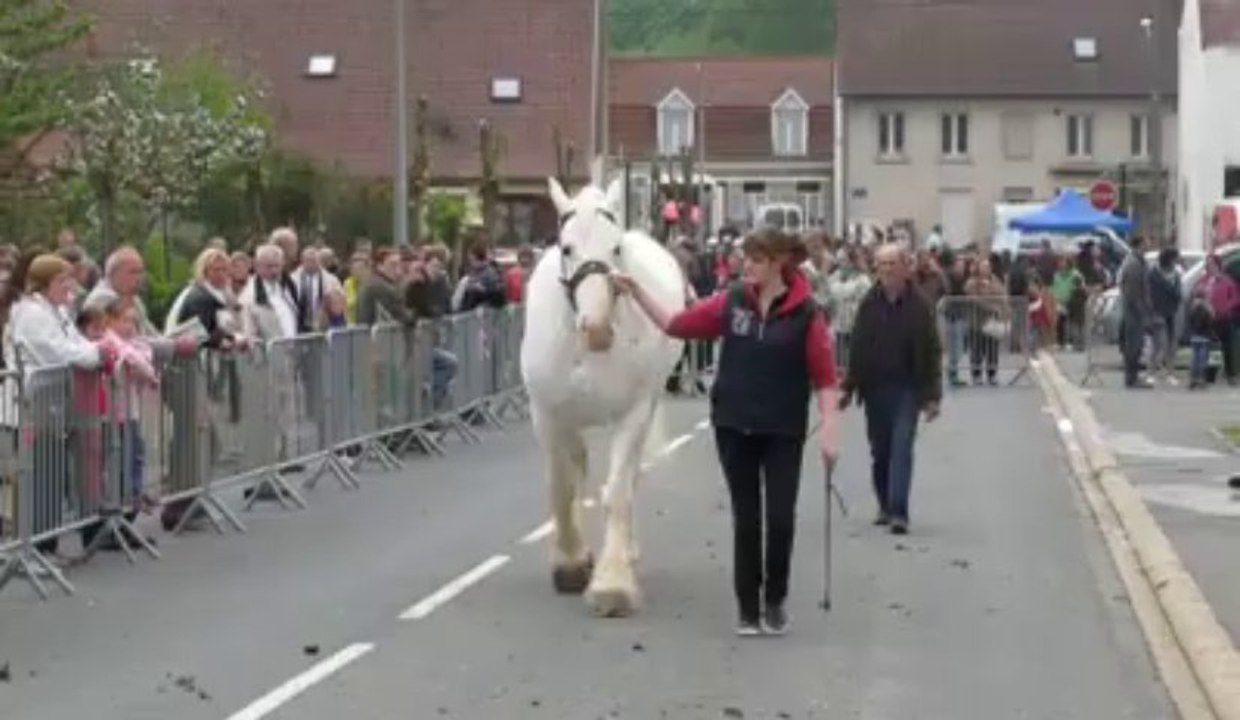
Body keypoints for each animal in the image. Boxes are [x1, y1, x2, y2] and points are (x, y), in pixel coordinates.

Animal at [520, 174, 687, 617]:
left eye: (616, 248)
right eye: (566, 247)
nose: (596, 330)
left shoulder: (631, 413)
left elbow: (616, 492)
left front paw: (612, 584)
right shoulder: (547, 415)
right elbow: (562, 488)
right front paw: (570, 564)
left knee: (629, 479)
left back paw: (626, 552)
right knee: (578, 469)